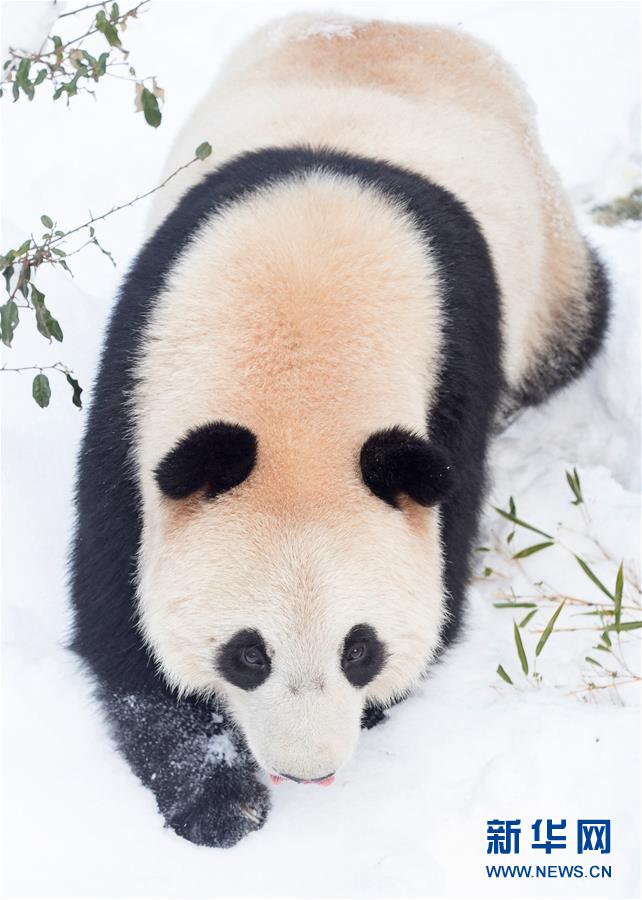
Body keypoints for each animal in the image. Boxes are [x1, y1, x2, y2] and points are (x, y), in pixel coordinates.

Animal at [70, 15, 609, 847]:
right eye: (247, 654)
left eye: (360, 648)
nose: (307, 771)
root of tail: (405, 25)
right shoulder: (137, 383)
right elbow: (116, 613)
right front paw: (216, 798)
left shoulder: (452, 395)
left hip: (549, 268)